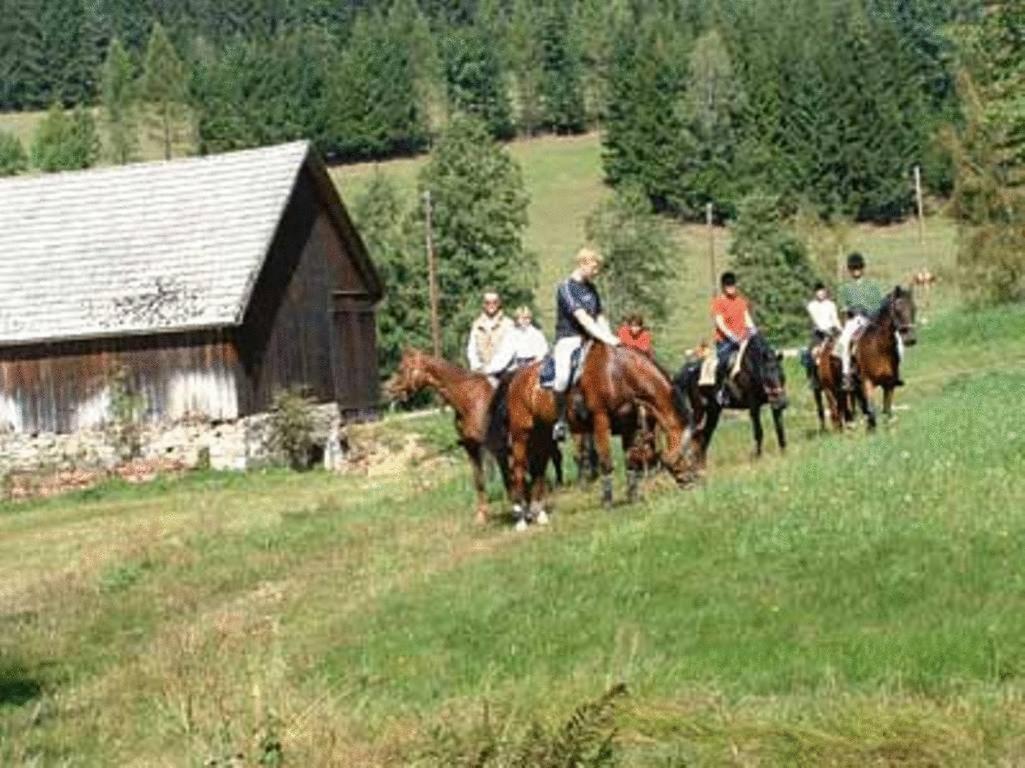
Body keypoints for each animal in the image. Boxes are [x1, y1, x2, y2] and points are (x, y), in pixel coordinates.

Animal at [385, 350, 565, 524]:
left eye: (401, 369)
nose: (388, 389)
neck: (470, 402)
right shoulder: (471, 447)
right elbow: (480, 480)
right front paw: (482, 515)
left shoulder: (498, 450)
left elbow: (509, 480)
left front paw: (519, 511)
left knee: (546, 464)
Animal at [496, 344, 697, 524]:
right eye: (685, 454)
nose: (693, 481)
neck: (619, 373)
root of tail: (516, 376)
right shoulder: (601, 422)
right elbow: (606, 463)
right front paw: (607, 503)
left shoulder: (629, 427)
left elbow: (631, 461)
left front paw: (633, 498)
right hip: (521, 435)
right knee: (518, 471)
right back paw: (521, 516)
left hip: (542, 437)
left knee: (538, 470)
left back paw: (539, 513)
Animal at [676, 332, 787, 463]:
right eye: (766, 376)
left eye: (782, 375)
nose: (782, 403)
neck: (751, 368)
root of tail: (691, 371)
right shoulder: (754, 406)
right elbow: (758, 431)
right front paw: (758, 456)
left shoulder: (774, 405)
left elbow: (779, 428)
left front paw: (784, 452)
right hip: (699, 409)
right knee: (693, 432)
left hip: (714, 411)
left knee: (706, 433)